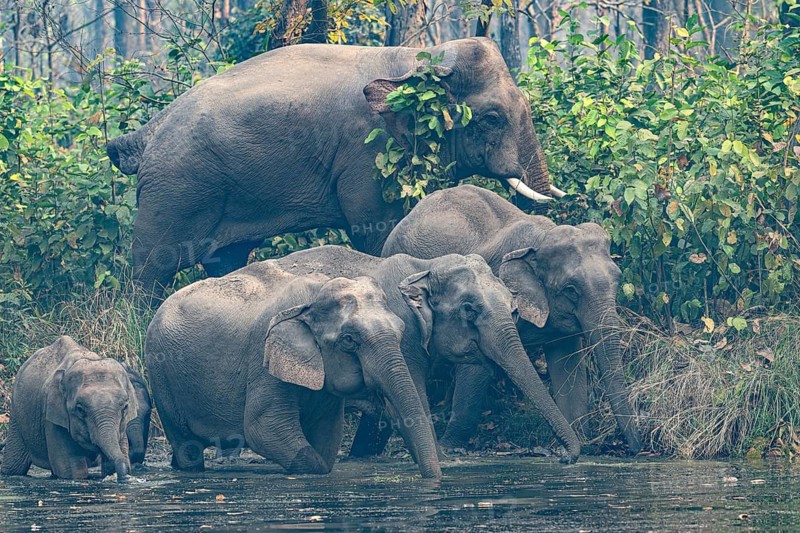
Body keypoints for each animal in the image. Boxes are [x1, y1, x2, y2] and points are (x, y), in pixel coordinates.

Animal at [1, 336, 139, 481]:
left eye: (125, 407)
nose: (125, 476)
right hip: (16, 415)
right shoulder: (53, 417)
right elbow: (71, 469)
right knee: (13, 465)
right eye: (80, 409)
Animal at [106, 38, 563, 294]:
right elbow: (377, 228)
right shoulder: (364, 151)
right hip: (177, 190)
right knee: (152, 267)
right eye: (492, 118)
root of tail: (147, 132)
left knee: (224, 259)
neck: (418, 59)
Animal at [144, 264, 442, 478]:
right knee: (187, 447)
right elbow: (263, 429)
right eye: (349, 340)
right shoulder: (263, 362)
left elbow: (327, 438)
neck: (313, 297)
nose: (432, 478)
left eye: (400, 330)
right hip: (161, 377)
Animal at [268, 246, 581, 463]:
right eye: (469, 309)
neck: (426, 267)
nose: (563, 457)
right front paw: (443, 460)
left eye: (513, 309)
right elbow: (415, 394)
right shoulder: (402, 336)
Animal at [382, 185, 642, 453]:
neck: (541, 238)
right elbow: (475, 369)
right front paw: (451, 448)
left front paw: (580, 442)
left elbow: (567, 363)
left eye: (618, 279)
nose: (634, 449)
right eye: (571, 289)